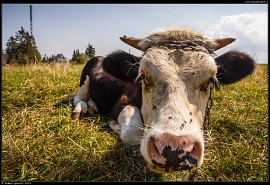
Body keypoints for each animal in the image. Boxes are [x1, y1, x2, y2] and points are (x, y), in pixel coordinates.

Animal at [70, 27, 255, 173]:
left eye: (209, 81)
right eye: (143, 77)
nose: (174, 151)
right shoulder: (121, 103)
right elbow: (133, 133)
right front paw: (116, 126)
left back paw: (92, 107)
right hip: (84, 80)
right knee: (78, 97)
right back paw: (81, 109)